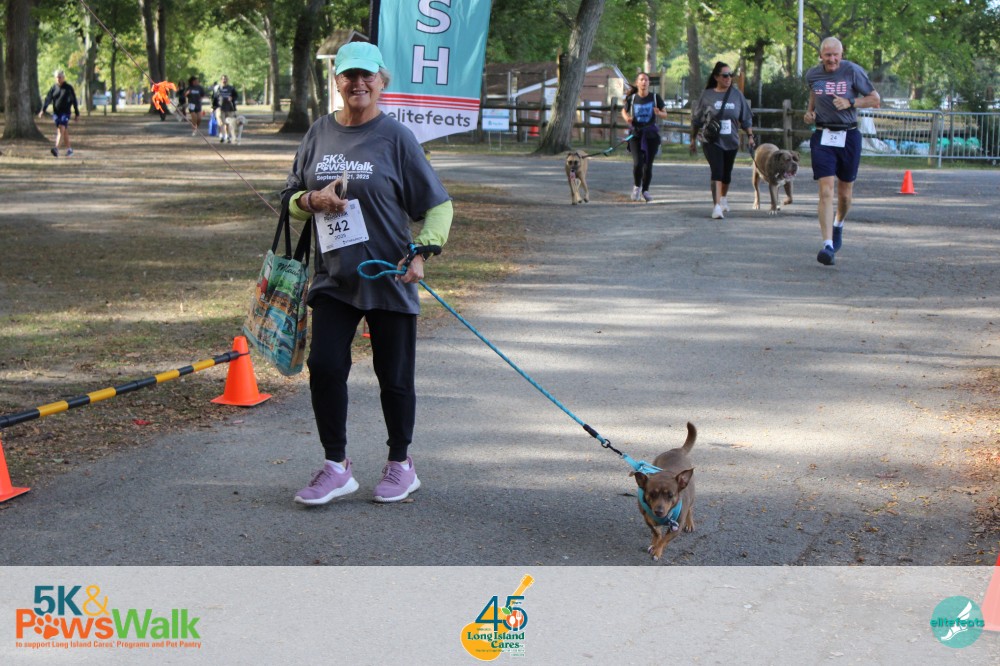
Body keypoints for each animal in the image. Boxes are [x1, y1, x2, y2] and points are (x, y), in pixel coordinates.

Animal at [630, 422, 696, 561]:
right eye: (651, 494)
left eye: (670, 495)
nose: (659, 511)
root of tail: (677, 450)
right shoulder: (647, 518)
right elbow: (657, 533)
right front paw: (654, 543)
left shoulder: (677, 527)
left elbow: (664, 540)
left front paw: (657, 551)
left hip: (691, 496)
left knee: (690, 508)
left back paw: (690, 523)